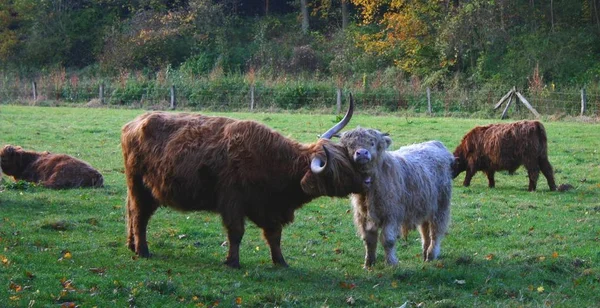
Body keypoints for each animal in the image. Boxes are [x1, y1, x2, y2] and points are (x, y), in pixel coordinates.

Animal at [120, 98, 366, 268]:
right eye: (340, 170)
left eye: (348, 160)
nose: (365, 181)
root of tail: (132, 123)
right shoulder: (232, 201)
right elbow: (236, 232)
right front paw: (233, 262)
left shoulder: (269, 208)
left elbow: (274, 235)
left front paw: (280, 262)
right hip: (140, 186)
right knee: (139, 215)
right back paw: (142, 250)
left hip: (143, 189)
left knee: (131, 211)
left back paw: (131, 245)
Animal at [340, 127, 452, 268]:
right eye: (350, 145)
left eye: (372, 143)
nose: (362, 153)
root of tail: (435, 143)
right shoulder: (363, 217)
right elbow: (369, 240)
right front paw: (368, 264)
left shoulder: (392, 214)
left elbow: (388, 239)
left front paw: (391, 263)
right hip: (425, 205)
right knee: (425, 230)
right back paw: (425, 253)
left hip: (441, 205)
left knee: (435, 230)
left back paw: (431, 254)